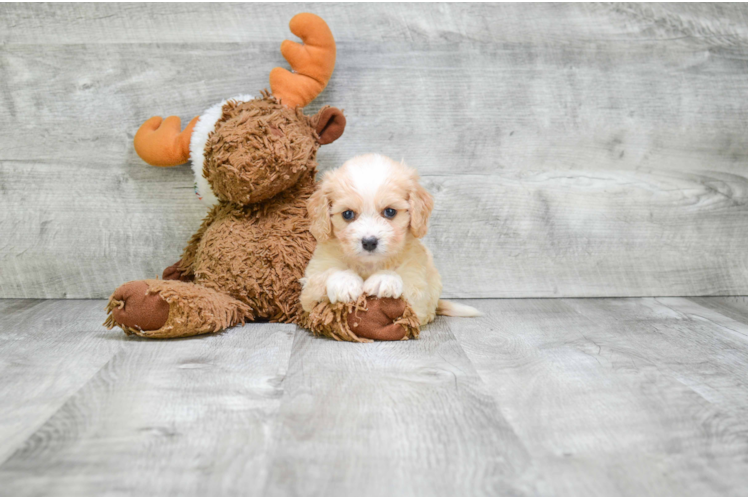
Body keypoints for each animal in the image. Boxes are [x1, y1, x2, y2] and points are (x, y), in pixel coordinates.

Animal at [302, 154, 482, 326]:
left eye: (390, 212)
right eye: (347, 214)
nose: (369, 242)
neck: (369, 265)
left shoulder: (417, 288)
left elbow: (406, 292)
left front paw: (384, 278)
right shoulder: (309, 290)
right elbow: (324, 276)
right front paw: (345, 281)